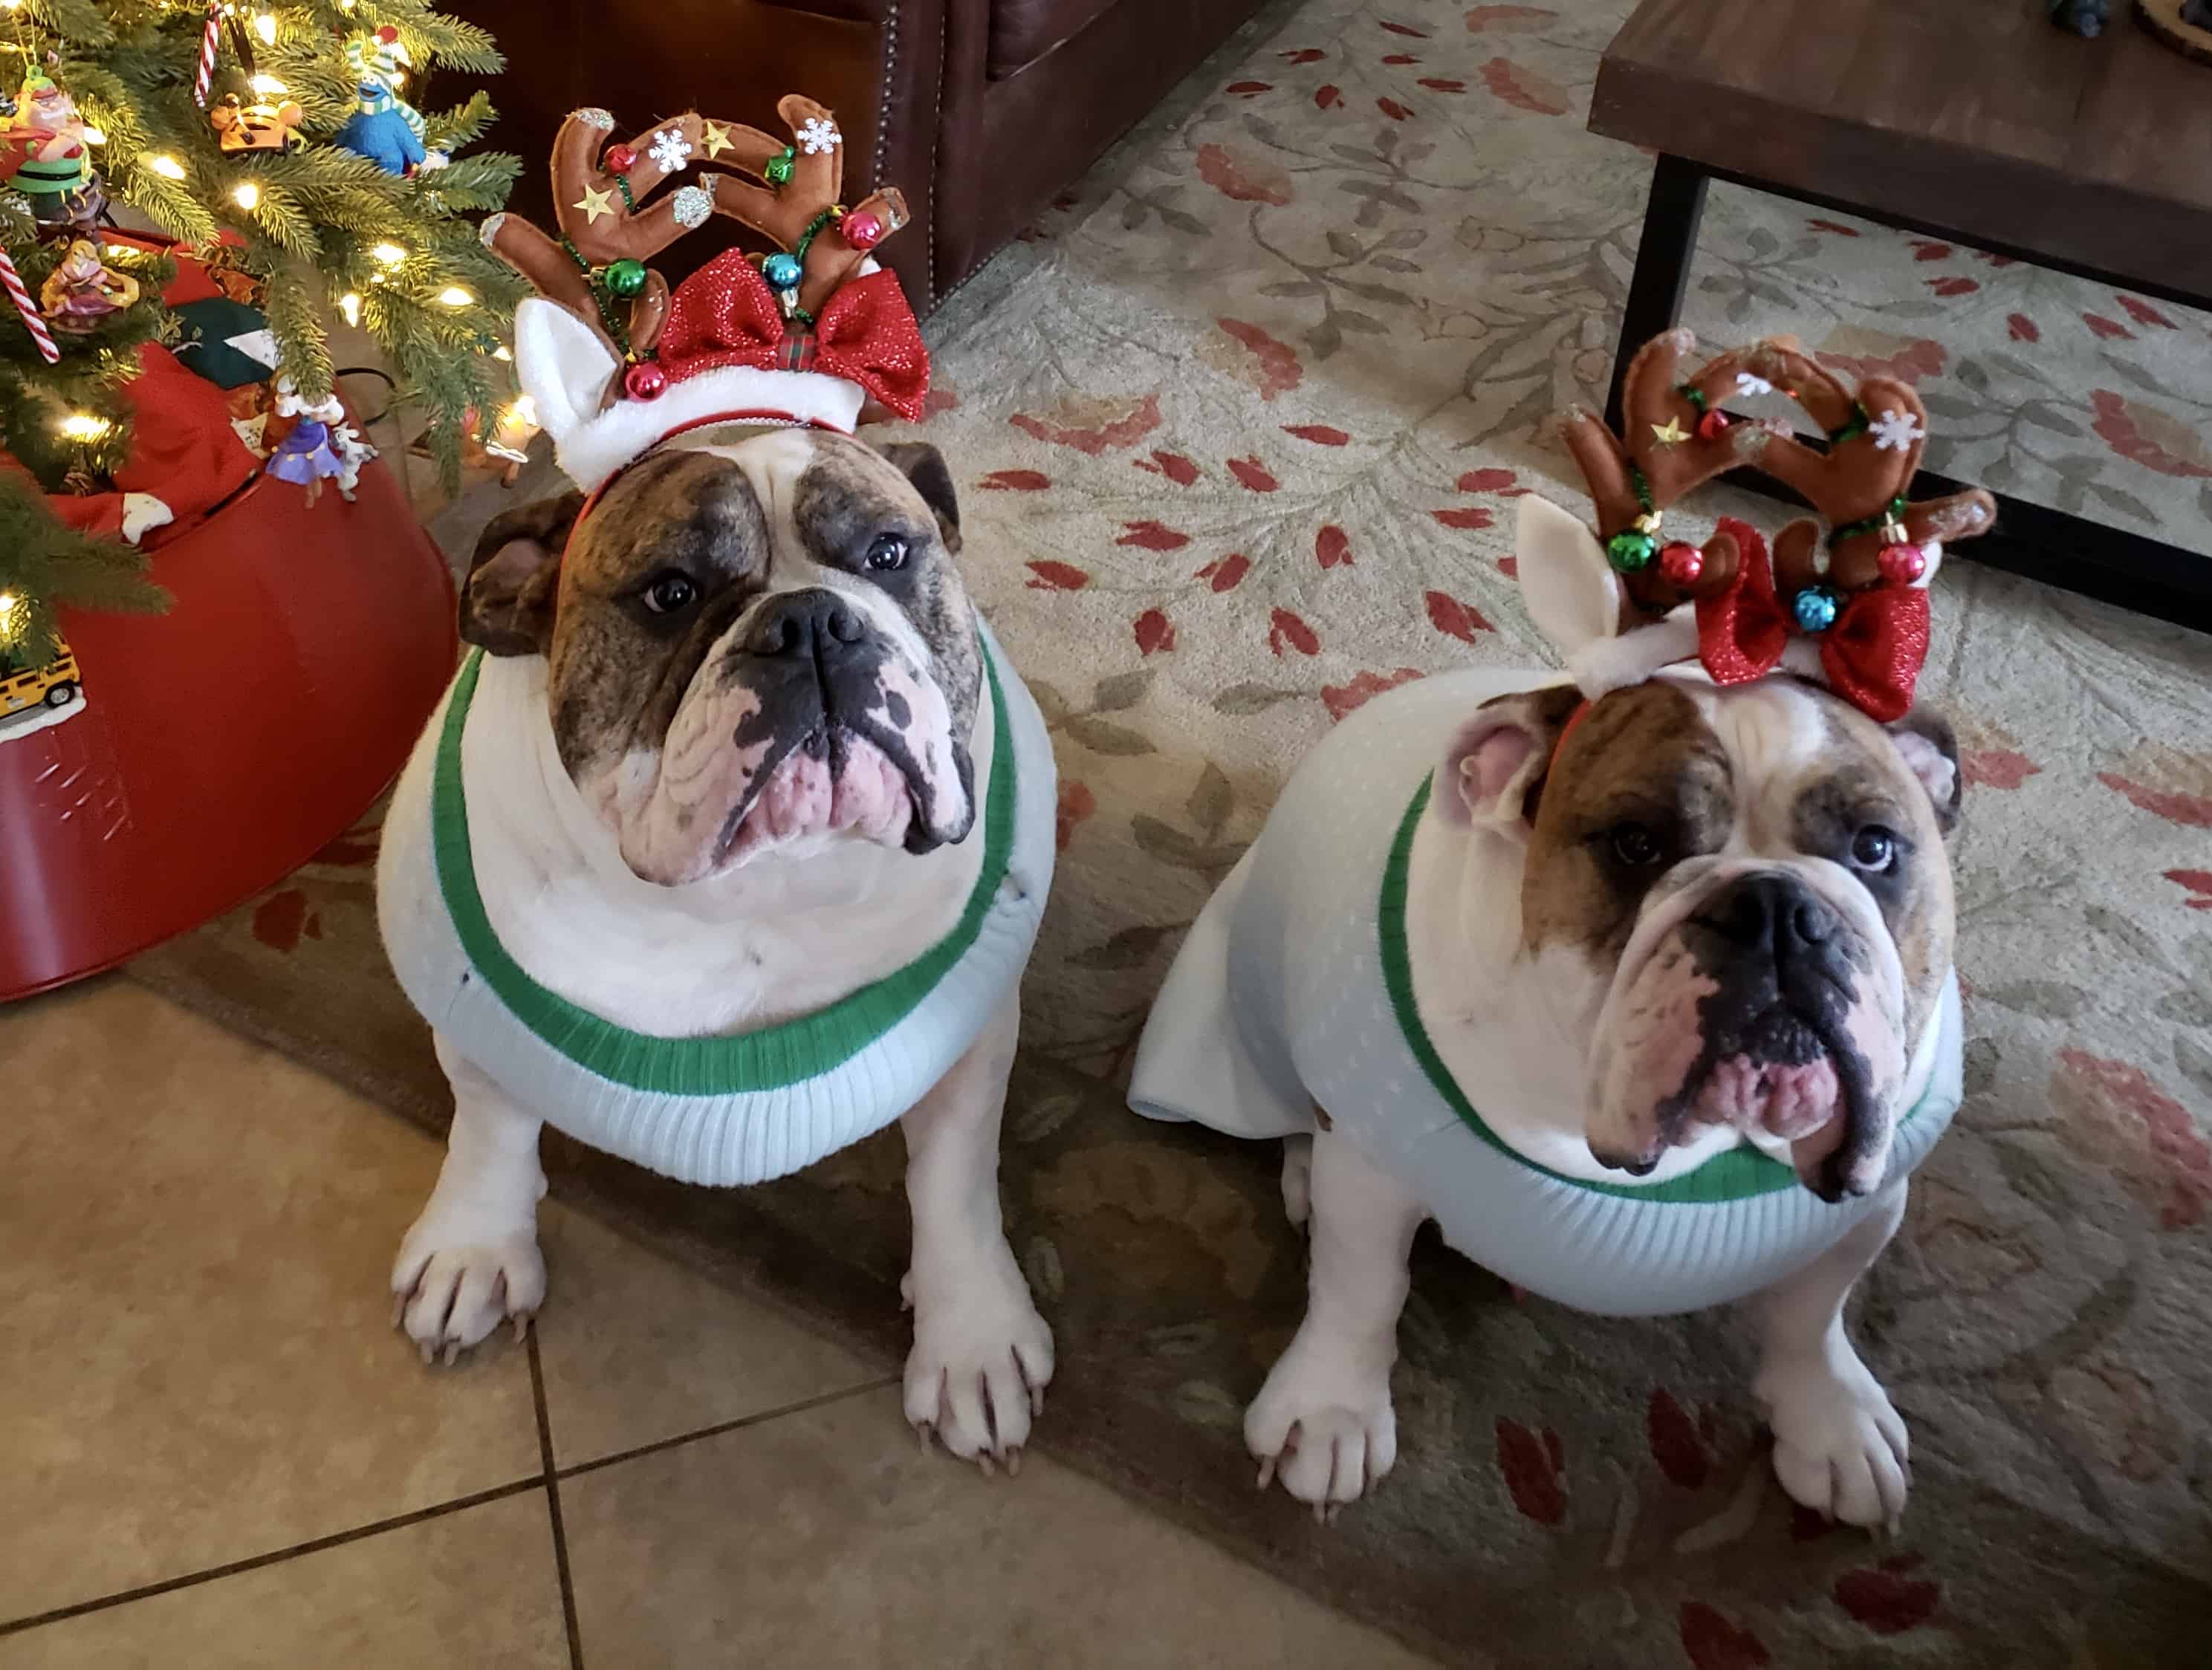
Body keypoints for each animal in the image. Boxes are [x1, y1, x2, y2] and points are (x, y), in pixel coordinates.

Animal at [1129, 482, 1968, 1528]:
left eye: (1875, 848)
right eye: (1636, 844)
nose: (1774, 911)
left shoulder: (1867, 1198)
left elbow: (1812, 1314)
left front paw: (1829, 1422)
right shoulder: (1373, 1170)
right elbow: (1361, 1292)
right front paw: (1329, 1410)